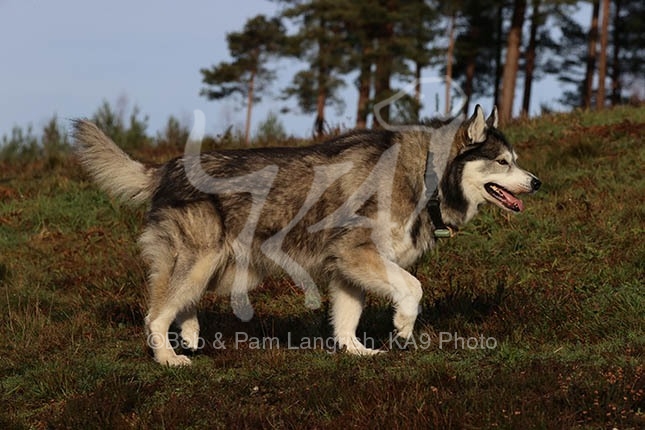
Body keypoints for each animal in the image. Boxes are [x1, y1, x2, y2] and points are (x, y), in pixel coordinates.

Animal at [73, 105, 541, 366]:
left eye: (515, 160)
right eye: (502, 161)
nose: (536, 182)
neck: (425, 174)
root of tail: (167, 166)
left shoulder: (347, 267)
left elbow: (347, 317)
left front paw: (356, 352)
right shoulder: (358, 253)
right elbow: (413, 287)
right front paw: (403, 328)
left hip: (213, 266)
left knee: (178, 303)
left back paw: (187, 336)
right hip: (199, 260)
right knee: (155, 314)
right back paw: (168, 358)